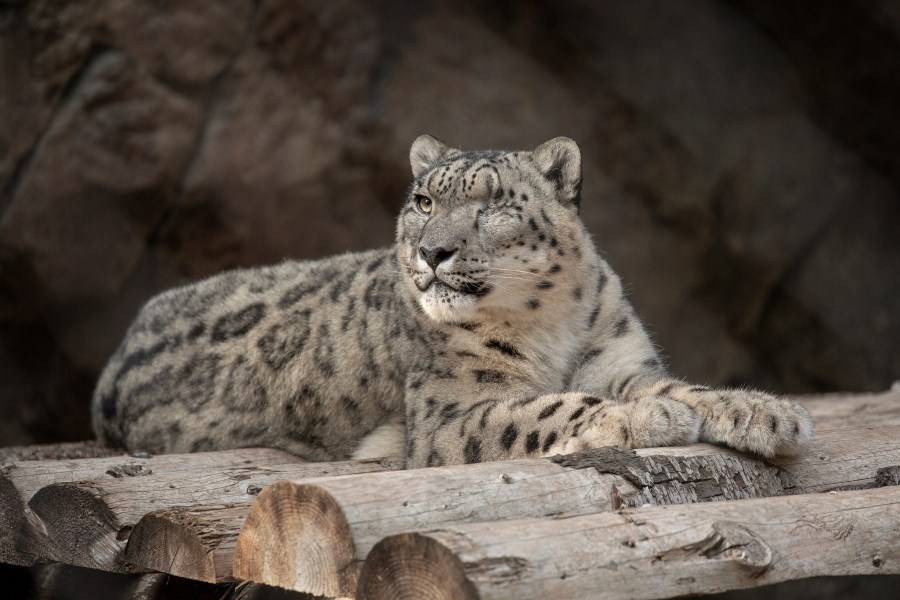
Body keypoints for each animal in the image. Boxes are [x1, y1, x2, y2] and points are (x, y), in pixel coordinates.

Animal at [91, 134, 816, 466]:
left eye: (493, 203)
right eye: (423, 201)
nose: (432, 251)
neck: (551, 325)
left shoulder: (621, 363)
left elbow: (679, 387)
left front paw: (764, 412)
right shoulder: (453, 411)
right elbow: (546, 407)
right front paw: (646, 420)